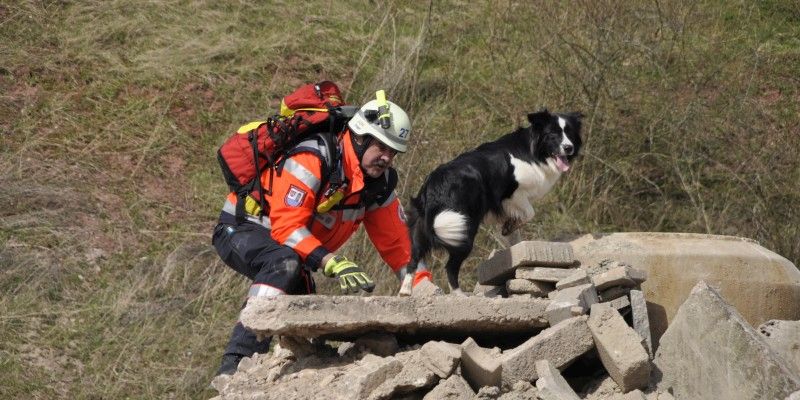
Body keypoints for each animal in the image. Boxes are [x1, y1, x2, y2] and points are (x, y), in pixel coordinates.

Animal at [400, 108, 580, 294]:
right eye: (553, 134)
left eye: (570, 133)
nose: (569, 148)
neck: (532, 150)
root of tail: (435, 184)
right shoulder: (512, 194)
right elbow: (529, 213)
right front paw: (510, 227)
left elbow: (514, 236)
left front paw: (510, 236)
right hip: (462, 227)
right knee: (450, 267)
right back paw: (459, 294)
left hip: (420, 225)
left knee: (413, 259)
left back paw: (405, 291)